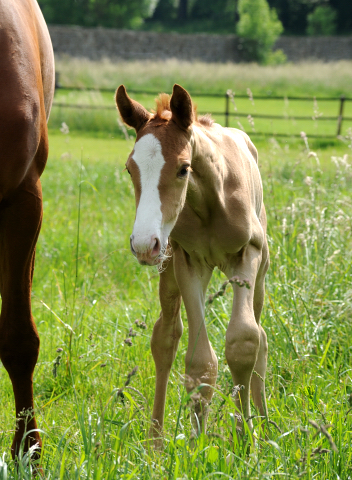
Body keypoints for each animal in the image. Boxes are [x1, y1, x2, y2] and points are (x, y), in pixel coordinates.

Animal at [115, 84, 270, 444]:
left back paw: (264, 421)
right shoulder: (188, 262)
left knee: (261, 336)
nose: (143, 244)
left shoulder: (248, 256)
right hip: (168, 268)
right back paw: (156, 443)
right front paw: (198, 443)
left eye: (184, 168)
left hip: (260, 275)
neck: (210, 201)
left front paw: (247, 441)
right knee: (166, 337)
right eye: (130, 168)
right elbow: (200, 362)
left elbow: (244, 341)